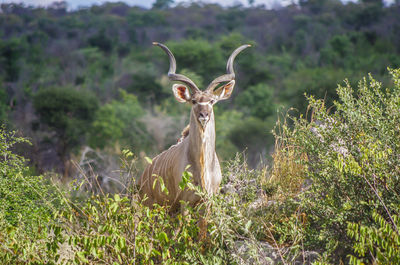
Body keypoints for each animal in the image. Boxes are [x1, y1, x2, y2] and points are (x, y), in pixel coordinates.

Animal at [138, 41, 250, 210]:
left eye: (212, 101)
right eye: (194, 101)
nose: (204, 115)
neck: (203, 169)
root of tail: (143, 176)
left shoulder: (208, 201)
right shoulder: (185, 203)